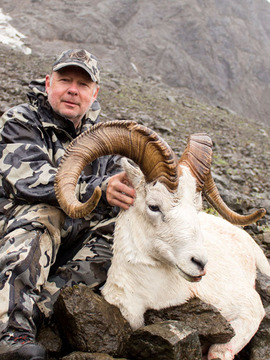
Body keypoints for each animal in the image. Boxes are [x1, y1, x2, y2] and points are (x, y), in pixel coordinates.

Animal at [54, 121, 270, 360]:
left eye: (197, 208)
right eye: (154, 206)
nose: (200, 263)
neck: (150, 297)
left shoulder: (250, 310)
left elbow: (219, 351)